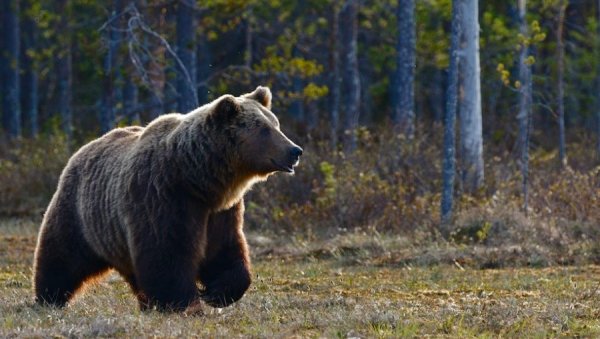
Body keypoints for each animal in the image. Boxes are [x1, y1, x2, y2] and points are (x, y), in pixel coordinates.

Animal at [31, 87, 302, 314]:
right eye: (264, 129)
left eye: (276, 124)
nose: (295, 150)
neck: (198, 180)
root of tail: (83, 149)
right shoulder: (164, 197)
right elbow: (167, 253)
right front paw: (184, 304)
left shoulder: (220, 211)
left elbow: (225, 250)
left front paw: (216, 293)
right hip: (80, 213)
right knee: (62, 256)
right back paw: (49, 298)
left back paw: (145, 303)